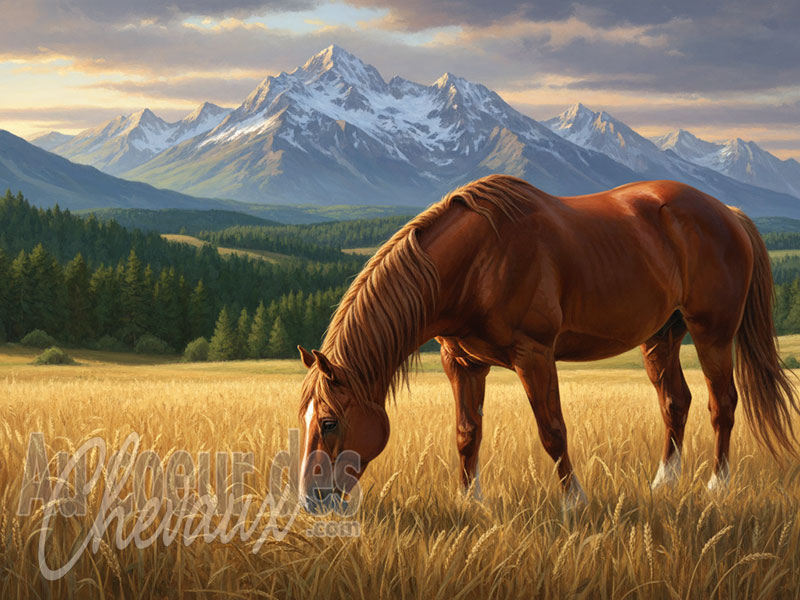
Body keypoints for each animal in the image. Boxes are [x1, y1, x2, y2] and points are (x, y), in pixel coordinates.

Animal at [297, 174, 799, 510]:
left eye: (328, 421)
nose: (311, 500)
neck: (476, 262)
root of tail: (728, 212)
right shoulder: (462, 362)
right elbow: (467, 433)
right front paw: (469, 501)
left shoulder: (534, 355)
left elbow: (553, 430)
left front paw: (574, 502)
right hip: (663, 337)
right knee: (675, 402)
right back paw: (664, 484)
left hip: (713, 332)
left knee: (723, 404)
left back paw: (717, 485)